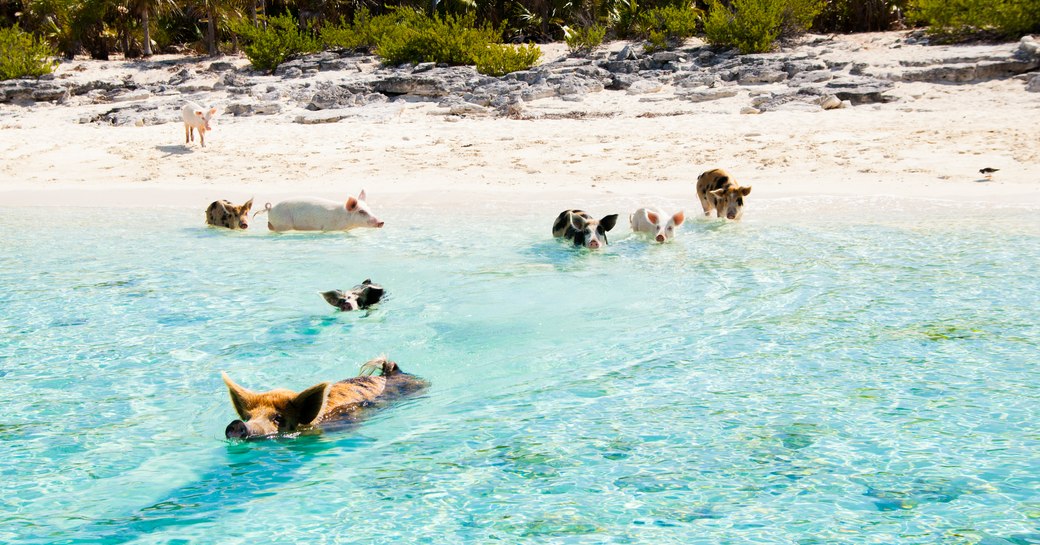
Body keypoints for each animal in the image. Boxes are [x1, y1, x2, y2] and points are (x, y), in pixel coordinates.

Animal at [256, 191, 384, 231]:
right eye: (361, 211)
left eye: (369, 208)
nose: (381, 222)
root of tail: (270, 208)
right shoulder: (329, 227)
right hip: (282, 223)